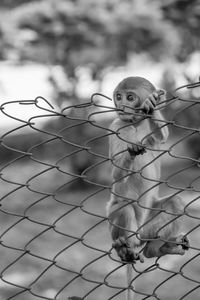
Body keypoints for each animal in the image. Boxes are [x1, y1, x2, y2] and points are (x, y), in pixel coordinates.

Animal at [106, 77, 189, 298]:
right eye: (119, 96)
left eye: (130, 97)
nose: (121, 106)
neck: (134, 123)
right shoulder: (116, 126)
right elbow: (117, 174)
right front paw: (132, 150)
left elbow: (163, 135)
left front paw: (153, 105)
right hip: (122, 223)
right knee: (123, 207)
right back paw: (125, 249)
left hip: (148, 226)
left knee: (175, 203)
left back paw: (157, 249)